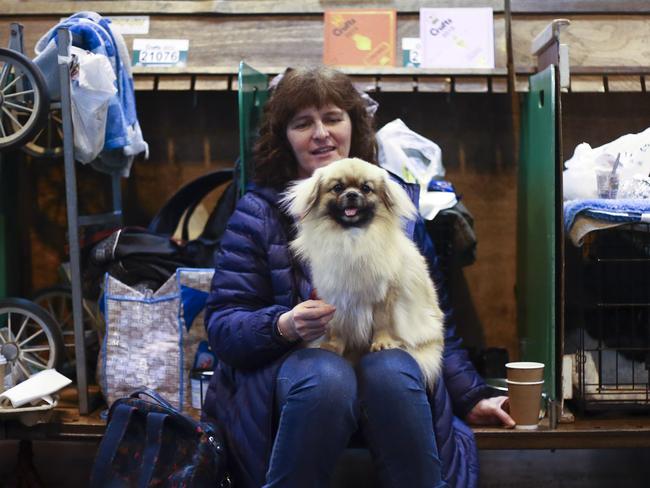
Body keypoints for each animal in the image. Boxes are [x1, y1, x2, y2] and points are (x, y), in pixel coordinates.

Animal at [280, 158, 442, 386]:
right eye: (338, 188)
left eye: (366, 188)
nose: (351, 194)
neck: (352, 238)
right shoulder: (337, 299)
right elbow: (337, 328)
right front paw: (332, 346)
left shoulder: (385, 297)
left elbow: (383, 323)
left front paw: (382, 343)